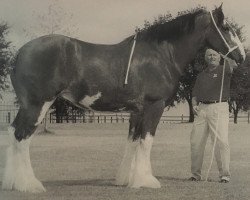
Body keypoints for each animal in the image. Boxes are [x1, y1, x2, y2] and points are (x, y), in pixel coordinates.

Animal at [1, 5, 245, 192]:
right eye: (226, 27)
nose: (241, 56)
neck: (161, 55)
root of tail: (21, 53)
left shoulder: (136, 111)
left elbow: (133, 142)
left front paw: (127, 180)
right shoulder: (154, 106)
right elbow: (146, 141)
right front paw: (147, 181)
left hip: (28, 106)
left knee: (13, 133)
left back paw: (12, 183)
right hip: (37, 104)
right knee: (22, 136)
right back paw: (29, 185)